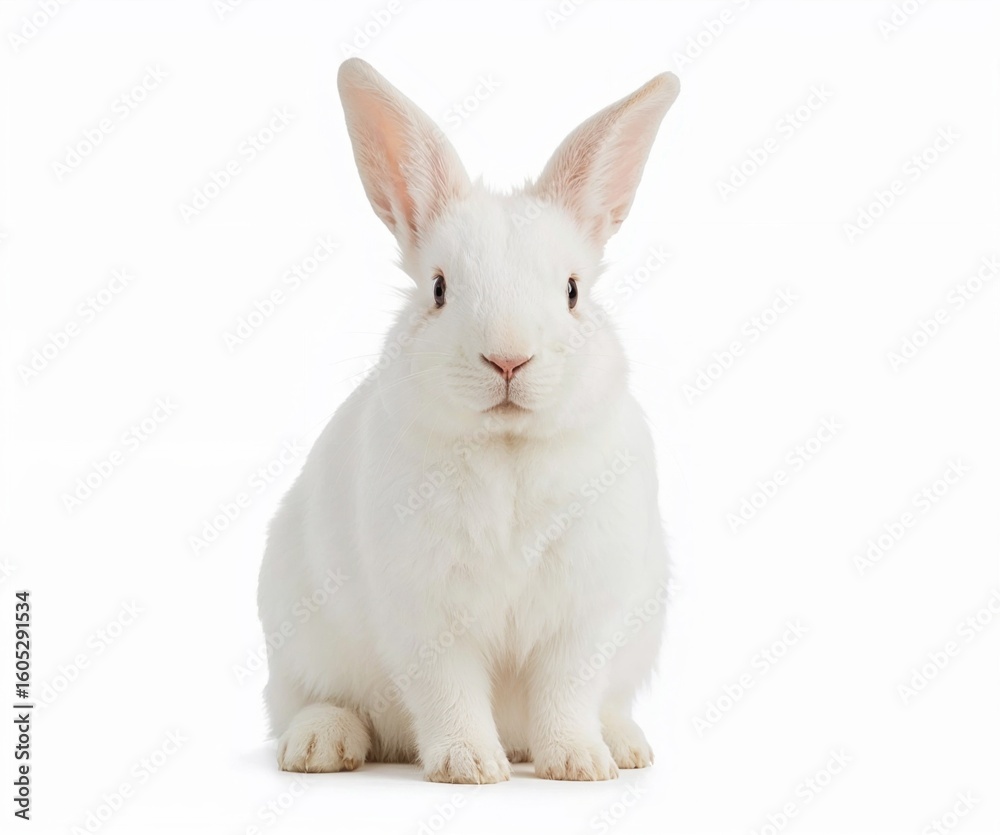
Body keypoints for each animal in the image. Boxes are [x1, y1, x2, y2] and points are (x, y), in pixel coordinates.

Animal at [257, 57, 679, 783]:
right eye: (439, 288)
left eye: (572, 291)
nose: (507, 358)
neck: (506, 444)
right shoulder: (427, 615)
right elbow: (448, 690)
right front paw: (470, 765)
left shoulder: (583, 616)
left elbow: (567, 692)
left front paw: (579, 763)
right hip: (295, 639)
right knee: (309, 702)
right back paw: (319, 746)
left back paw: (625, 746)